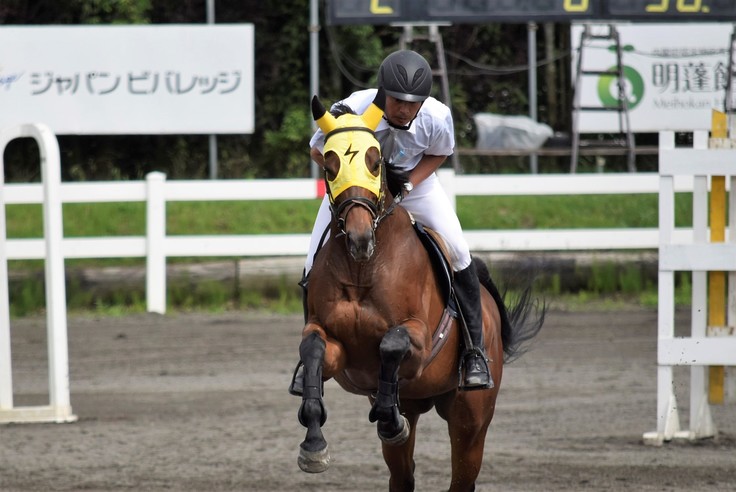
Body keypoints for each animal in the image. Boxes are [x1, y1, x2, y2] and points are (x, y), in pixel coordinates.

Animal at [294, 89, 548, 492]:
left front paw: (387, 416)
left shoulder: (419, 341)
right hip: (418, 414)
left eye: (375, 162)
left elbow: (391, 344)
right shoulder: (335, 346)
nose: (359, 239)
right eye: (330, 165)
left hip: (469, 420)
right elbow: (315, 350)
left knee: (462, 474)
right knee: (403, 474)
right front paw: (314, 445)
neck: (363, 266)